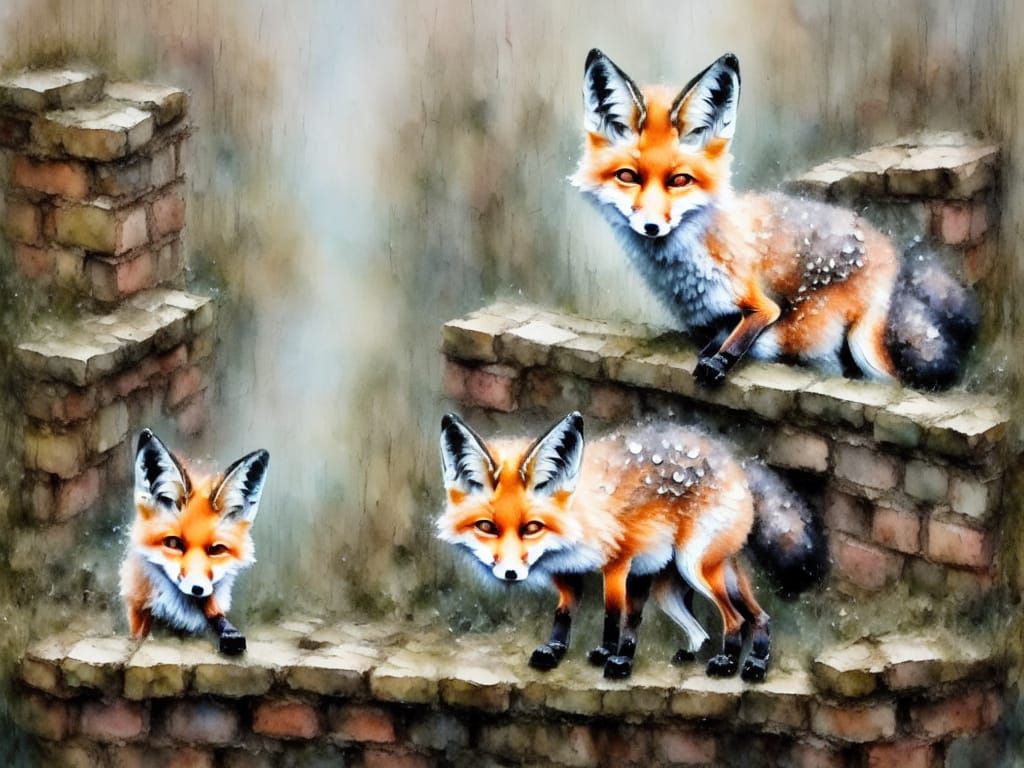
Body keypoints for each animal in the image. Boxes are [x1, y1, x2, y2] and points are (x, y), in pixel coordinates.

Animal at [437, 411, 825, 682]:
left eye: (532, 527)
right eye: (487, 527)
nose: (510, 574)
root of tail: (735, 461)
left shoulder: (620, 565)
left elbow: (615, 617)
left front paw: (611, 657)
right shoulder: (574, 572)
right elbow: (567, 615)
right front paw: (557, 652)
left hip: (697, 568)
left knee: (737, 618)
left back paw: (730, 663)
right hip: (676, 588)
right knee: (747, 620)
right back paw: (741, 662)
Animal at [571, 49, 978, 390]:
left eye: (680, 180)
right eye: (628, 177)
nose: (652, 227)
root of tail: (889, 247)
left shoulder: (759, 302)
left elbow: (749, 331)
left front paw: (720, 362)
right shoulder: (712, 319)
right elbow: (717, 335)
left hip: (842, 339)